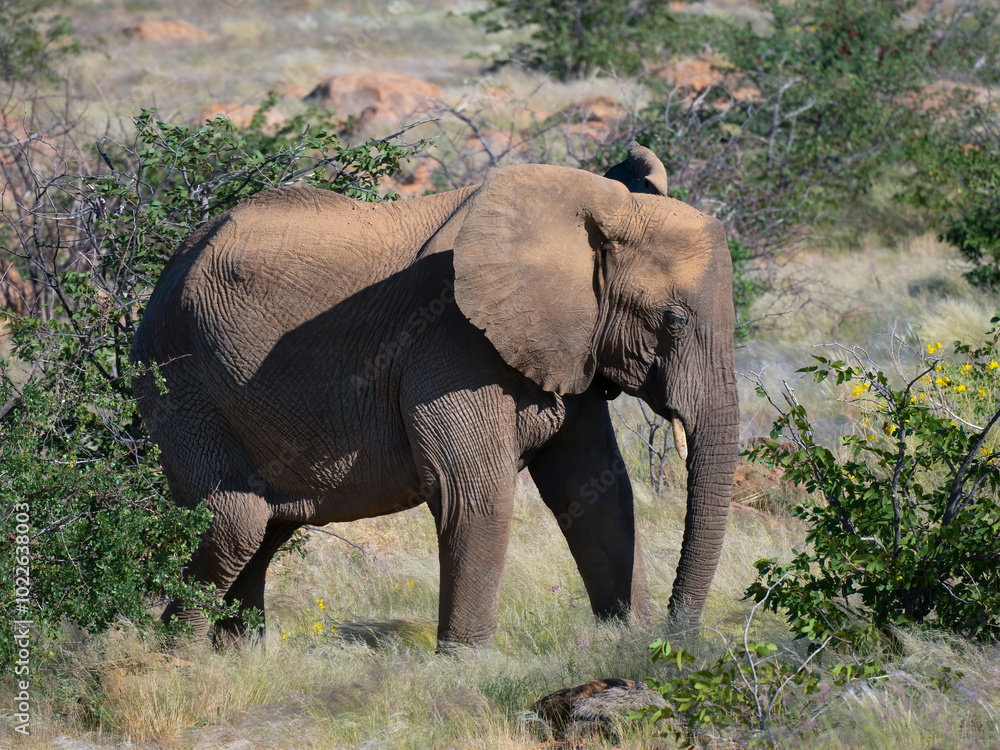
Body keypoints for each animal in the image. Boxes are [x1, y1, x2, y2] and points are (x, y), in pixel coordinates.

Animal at [130, 142, 739, 649]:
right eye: (673, 320)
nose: (674, 638)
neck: (592, 208)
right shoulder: (451, 339)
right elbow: (473, 492)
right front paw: (467, 662)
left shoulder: (571, 342)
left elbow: (595, 489)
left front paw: (627, 639)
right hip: (177, 381)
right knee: (234, 521)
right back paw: (175, 662)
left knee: (265, 529)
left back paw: (238, 659)